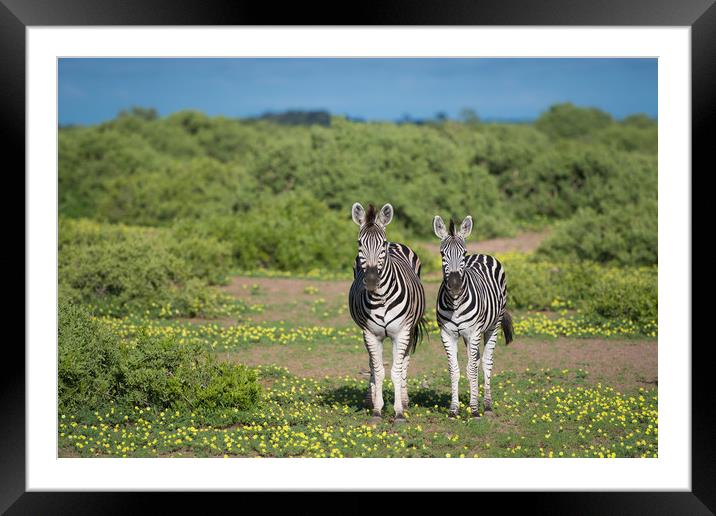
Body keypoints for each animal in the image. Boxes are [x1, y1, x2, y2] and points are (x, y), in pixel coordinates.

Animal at [350, 202, 428, 424]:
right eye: (359, 243)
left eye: (382, 244)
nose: (371, 281)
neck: (381, 297)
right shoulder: (370, 333)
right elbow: (378, 371)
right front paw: (377, 410)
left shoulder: (401, 333)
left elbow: (396, 370)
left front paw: (399, 411)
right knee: (372, 363)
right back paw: (370, 399)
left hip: (410, 329)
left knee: (405, 361)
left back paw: (405, 399)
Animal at [434, 214, 512, 420]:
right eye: (442, 254)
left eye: (463, 253)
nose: (454, 285)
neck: (455, 302)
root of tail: (483, 254)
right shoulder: (447, 334)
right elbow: (455, 370)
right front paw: (454, 410)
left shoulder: (474, 331)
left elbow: (471, 368)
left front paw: (475, 410)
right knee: (475, 362)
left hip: (492, 326)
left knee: (485, 363)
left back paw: (487, 406)